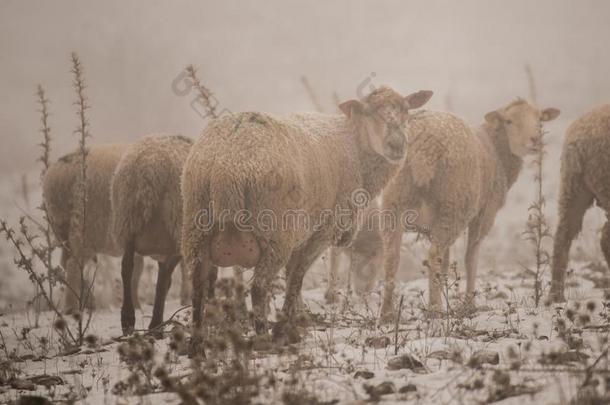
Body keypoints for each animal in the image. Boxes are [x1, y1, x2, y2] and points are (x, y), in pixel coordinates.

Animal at [42, 144, 144, 312]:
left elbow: (136, 271)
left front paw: (136, 306)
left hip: (62, 230)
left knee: (66, 262)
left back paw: (88, 301)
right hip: (86, 229)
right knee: (73, 266)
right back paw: (72, 308)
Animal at [180, 86, 432, 344]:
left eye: (405, 110)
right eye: (370, 112)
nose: (397, 145)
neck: (353, 144)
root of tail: (227, 167)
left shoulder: (300, 235)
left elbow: (293, 277)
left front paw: (296, 320)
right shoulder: (321, 232)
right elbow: (296, 278)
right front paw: (285, 326)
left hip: (196, 226)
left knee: (198, 286)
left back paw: (197, 341)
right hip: (274, 232)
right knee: (259, 287)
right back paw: (265, 338)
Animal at [380, 98, 560, 318]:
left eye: (540, 119)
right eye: (509, 121)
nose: (535, 140)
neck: (496, 149)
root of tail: (422, 148)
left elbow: (446, 261)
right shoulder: (485, 213)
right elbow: (470, 257)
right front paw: (468, 303)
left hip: (395, 203)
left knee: (392, 258)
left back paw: (387, 314)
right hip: (453, 206)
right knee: (433, 255)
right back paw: (435, 309)